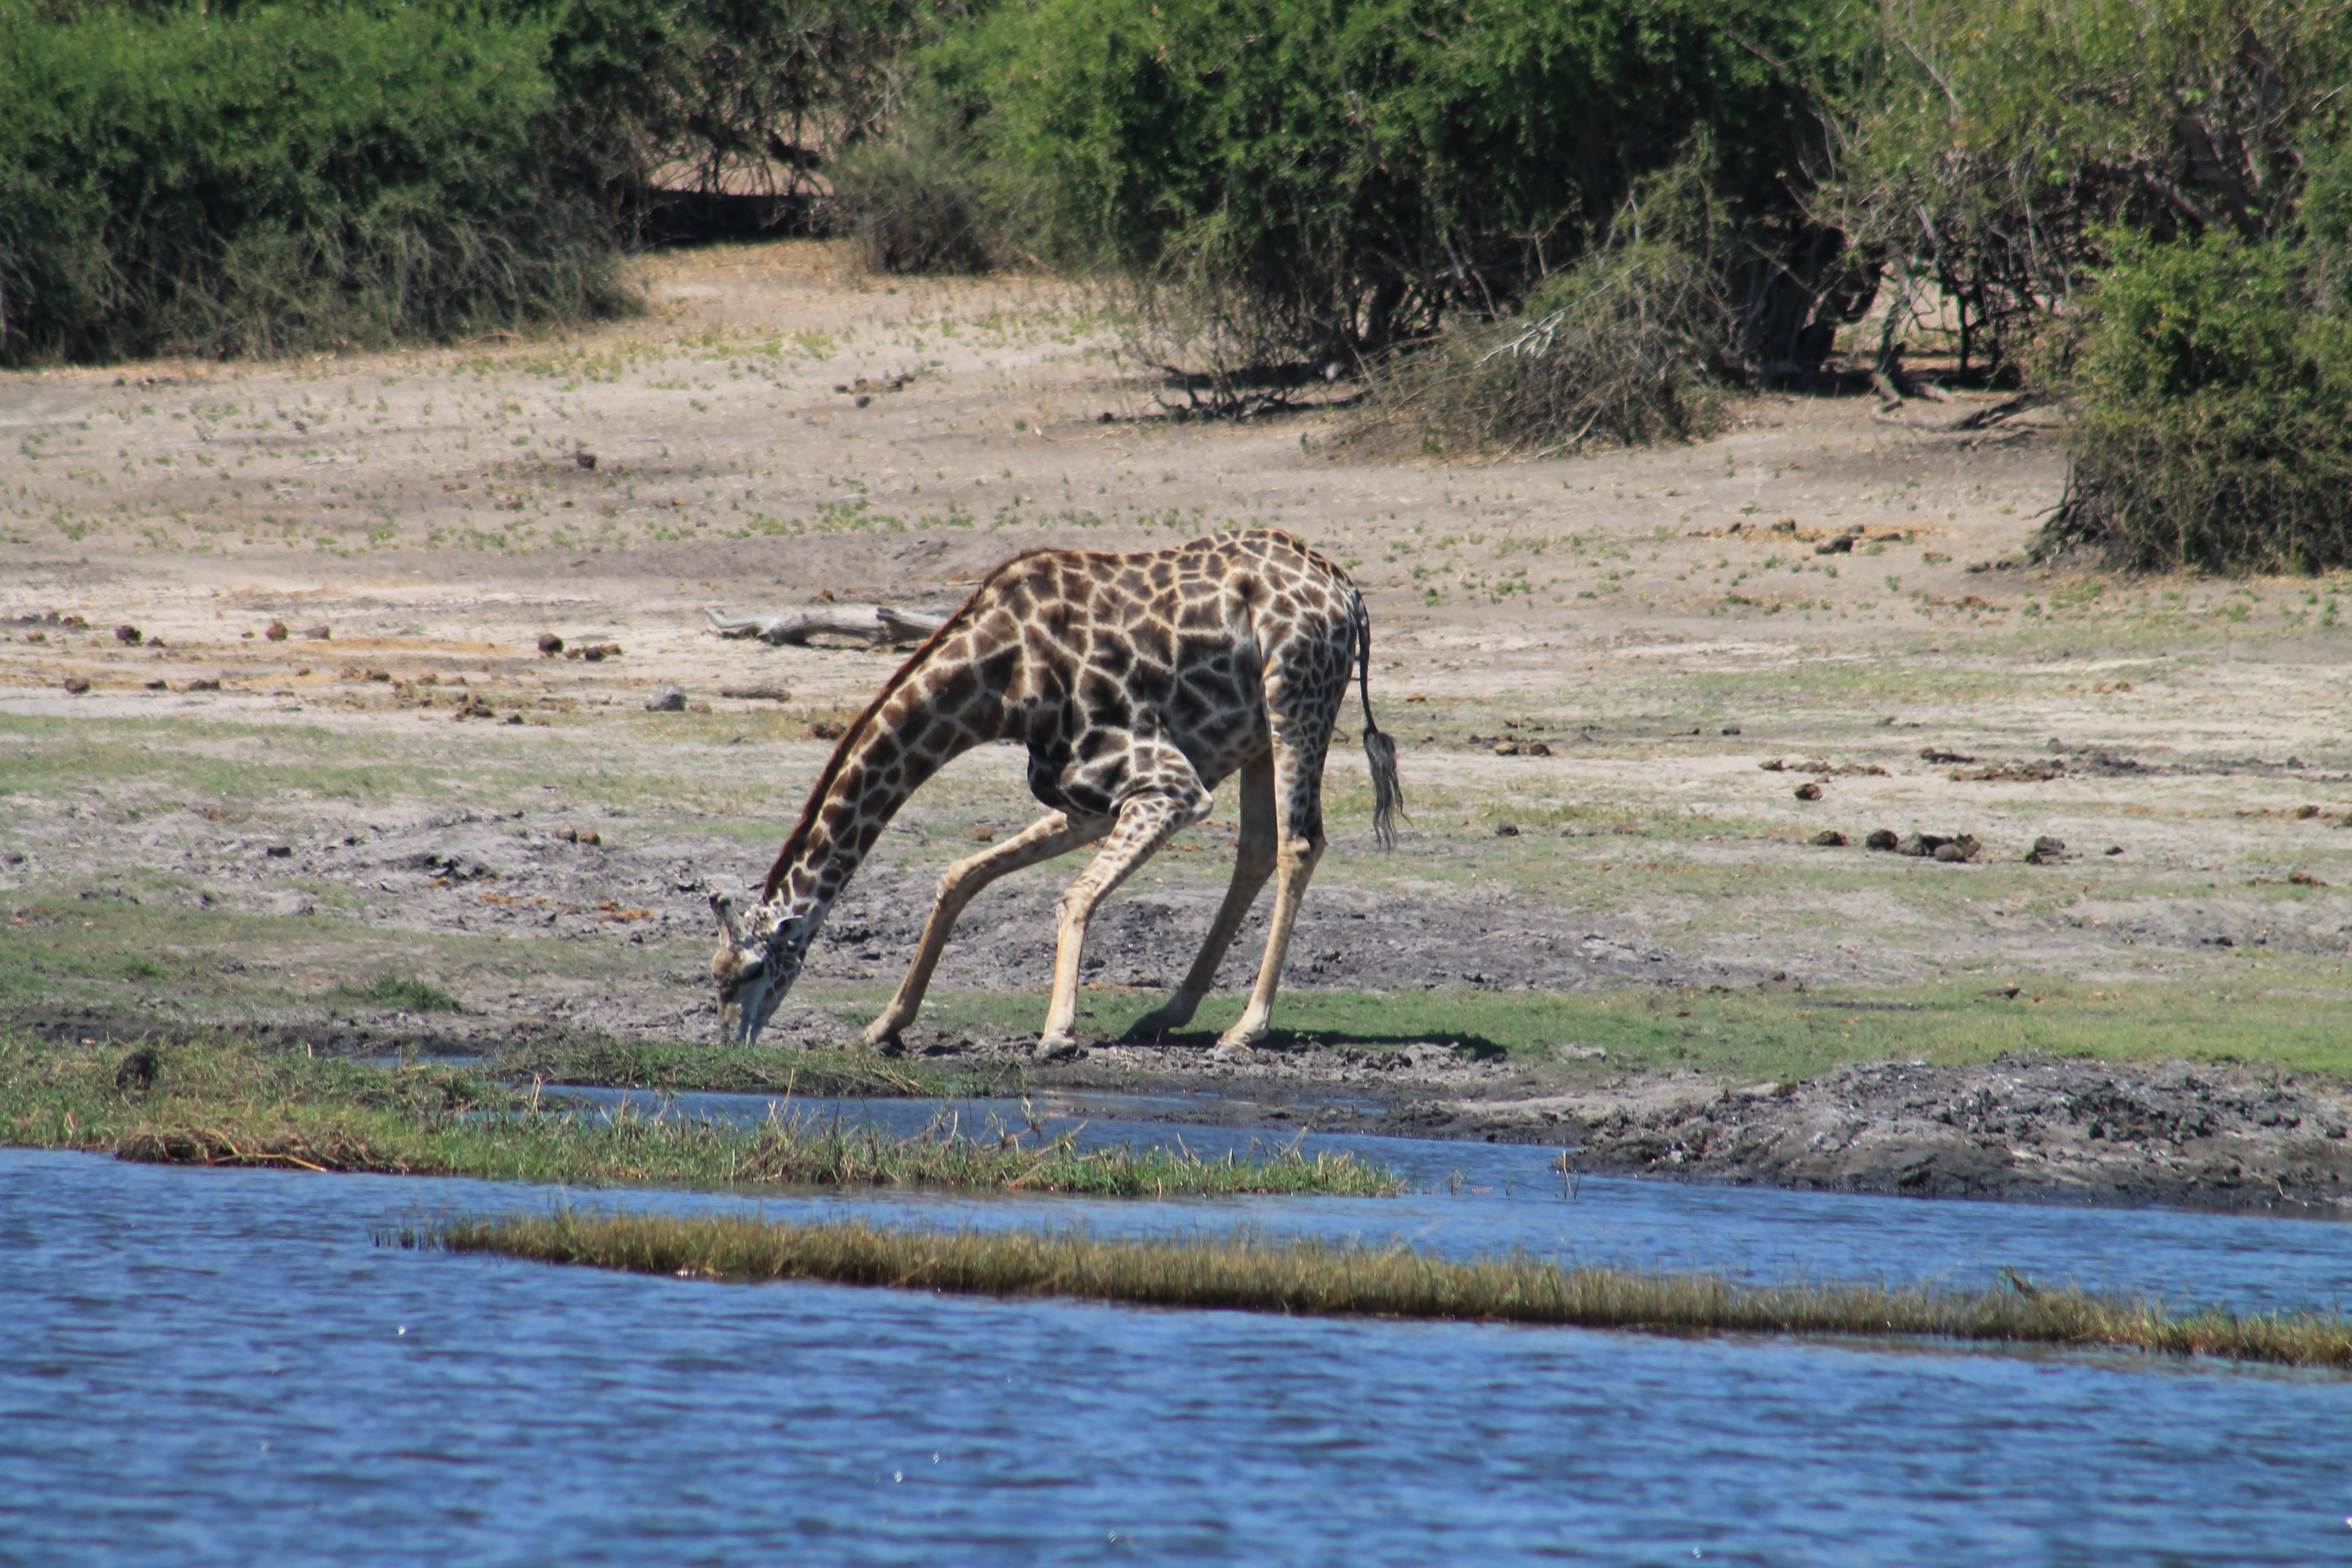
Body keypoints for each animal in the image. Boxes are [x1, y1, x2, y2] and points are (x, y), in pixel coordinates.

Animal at [696, 531, 1392, 1067]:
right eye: (715, 974)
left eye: (751, 971)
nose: (731, 1043)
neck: (998, 680)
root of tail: (1352, 597)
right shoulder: (1082, 800)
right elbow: (960, 875)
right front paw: (884, 1026)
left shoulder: (1170, 784)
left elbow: (1073, 895)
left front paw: (1058, 1033)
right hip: (1256, 736)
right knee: (1258, 847)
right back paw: (1167, 1012)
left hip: (1294, 700)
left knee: (1300, 842)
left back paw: (1244, 1029)